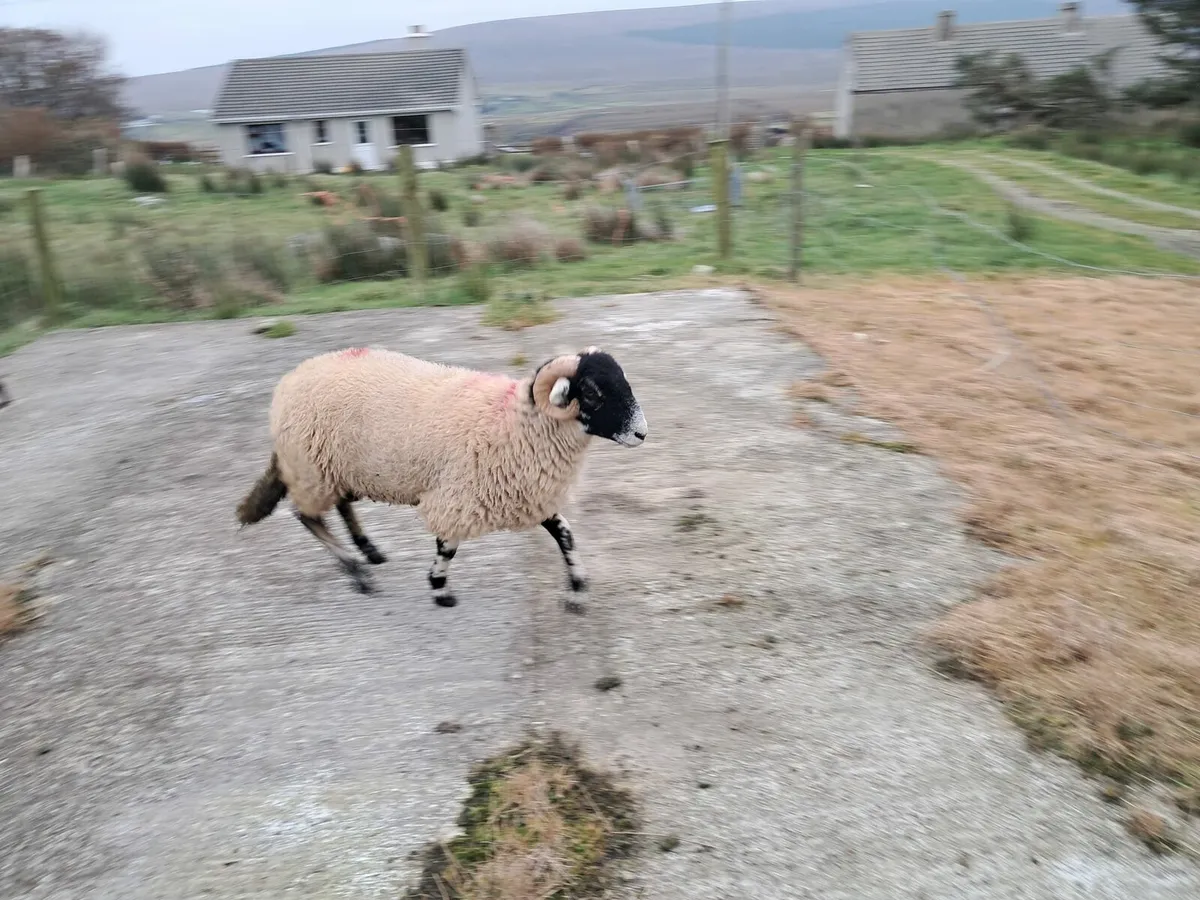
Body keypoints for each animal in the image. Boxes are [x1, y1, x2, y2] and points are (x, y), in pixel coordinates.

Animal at [236, 345, 648, 608]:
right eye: (592, 393)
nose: (642, 433)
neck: (518, 424)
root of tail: (290, 380)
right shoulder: (460, 496)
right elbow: (447, 546)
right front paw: (438, 589)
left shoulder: (526, 492)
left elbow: (565, 535)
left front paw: (577, 588)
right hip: (311, 467)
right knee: (307, 516)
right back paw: (357, 571)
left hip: (336, 467)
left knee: (340, 506)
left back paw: (369, 550)